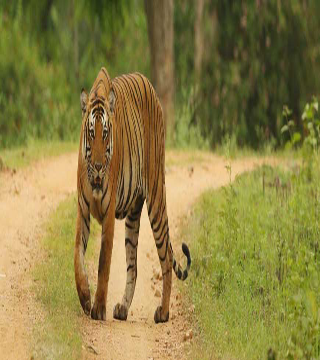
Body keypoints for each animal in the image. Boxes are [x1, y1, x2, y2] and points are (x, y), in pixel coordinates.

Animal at [74, 67, 190, 324]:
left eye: (106, 134)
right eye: (91, 133)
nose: (98, 167)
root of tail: (151, 86)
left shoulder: (108, 215)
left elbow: (103, 263)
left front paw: (98, 308)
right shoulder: (83, 211)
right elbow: (78, 256)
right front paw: (85, 298)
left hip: (157, 196)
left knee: (166, 256)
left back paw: (163, 312)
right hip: (133, 216)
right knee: (133, 267)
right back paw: (122, 308)